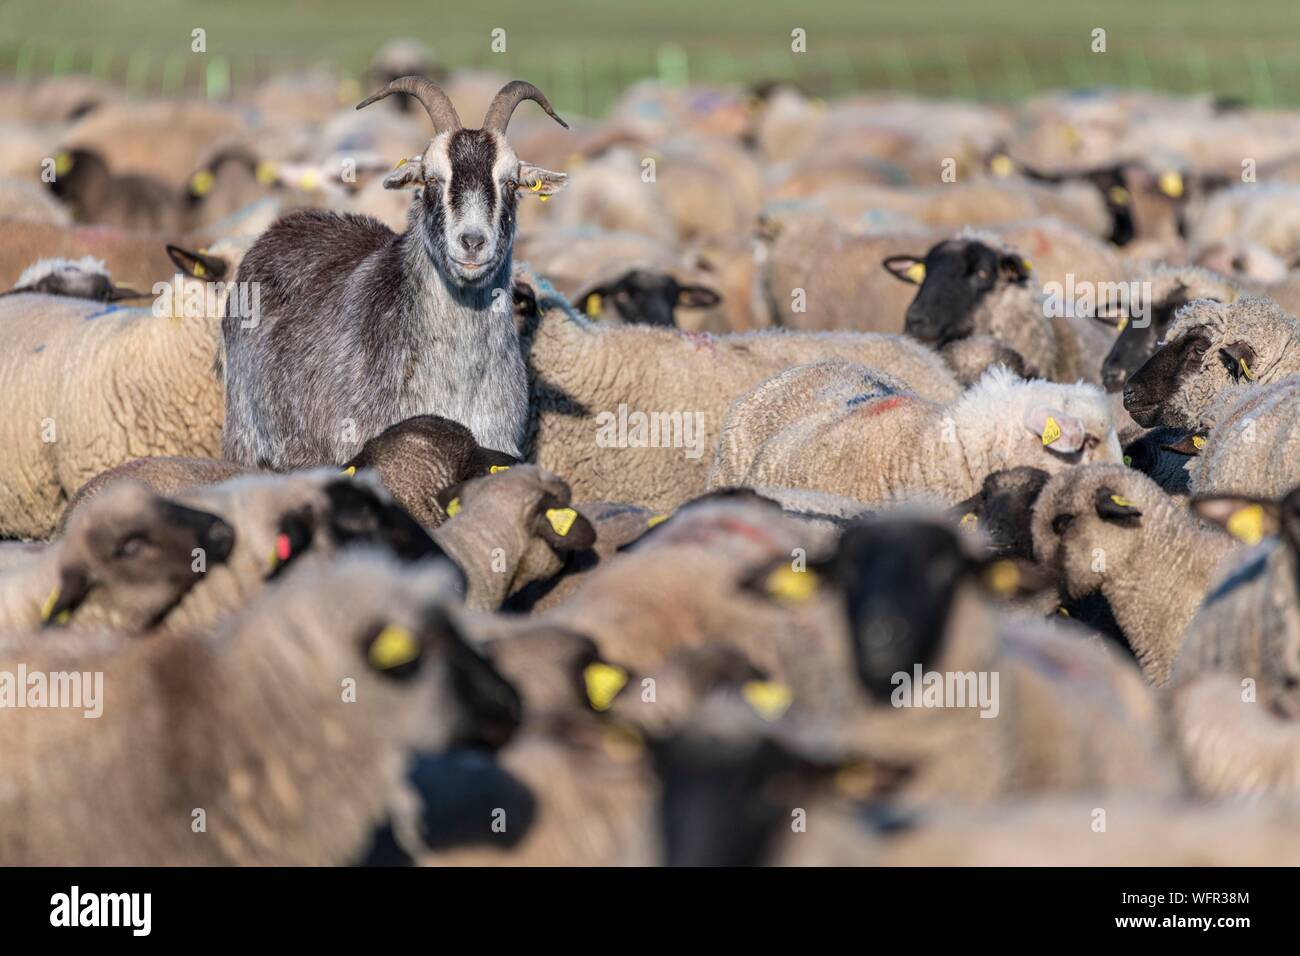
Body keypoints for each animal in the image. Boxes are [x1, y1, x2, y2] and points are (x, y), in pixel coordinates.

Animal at [222, 78, 569, 467]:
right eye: (431, 180)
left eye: (510, 183)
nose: (472, 242)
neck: (457, 382)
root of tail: (280, 228)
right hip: (245, 439)